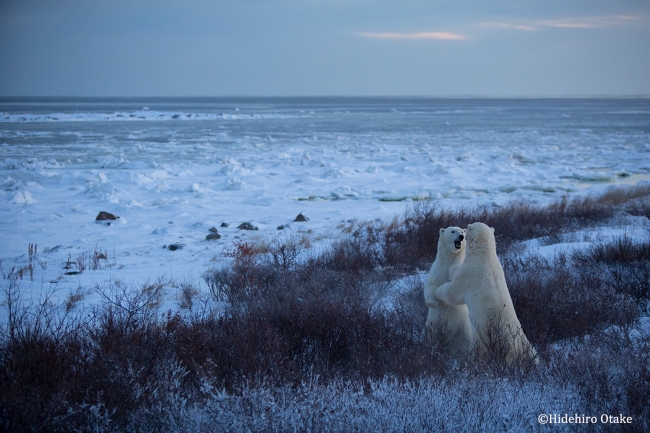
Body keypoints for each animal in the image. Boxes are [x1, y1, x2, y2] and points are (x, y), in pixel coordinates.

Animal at [420, 226, 470, 354]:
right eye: (453, 231)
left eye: (462, 231)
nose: (461, 237)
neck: (449, 260)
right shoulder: (438, 269)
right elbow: (430, 285)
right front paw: (437, 303)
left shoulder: (456, 265)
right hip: (431, 326)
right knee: (429, 337)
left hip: (464, 328)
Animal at [430, 221, 536, 362]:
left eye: (464, 232)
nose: (461, 236)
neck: (484, 254)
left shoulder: (469, 273)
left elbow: (454, 292)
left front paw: (437, 291)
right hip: (524, 342)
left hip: (483, 337)